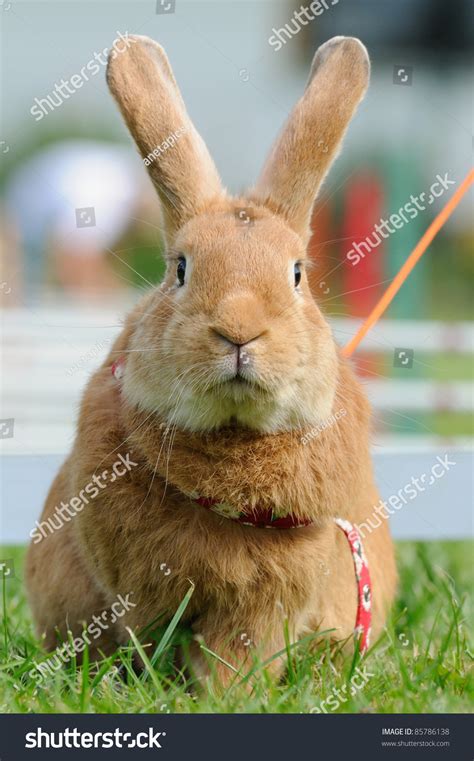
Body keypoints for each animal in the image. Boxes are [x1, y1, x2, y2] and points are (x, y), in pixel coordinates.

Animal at [25, 32, 396, 684]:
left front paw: (228, 693)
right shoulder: (136, 586)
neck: (233, 438)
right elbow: (148, 634)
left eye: (297, 274)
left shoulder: (268, 601)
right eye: (180, 269)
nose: (239, 331)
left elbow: (237, 652)